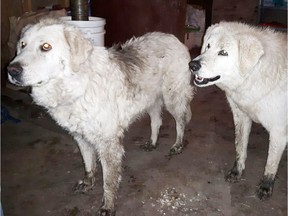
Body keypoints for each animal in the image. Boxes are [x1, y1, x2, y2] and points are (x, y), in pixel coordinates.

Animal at [6, 18, 195, 214]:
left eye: (45, 47)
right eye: (22, 45)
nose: (11, 70)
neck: (77, 85)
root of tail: (173, 38)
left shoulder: (108, 144)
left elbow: (109, 182)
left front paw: (108, 206)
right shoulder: (80, 137)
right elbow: (89, 164)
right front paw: (88, 183)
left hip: (172, 98)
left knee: (180, 121)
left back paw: (178, 145)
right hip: (151, 100)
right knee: (156, 121)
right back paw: (152, 142)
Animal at [189, 21, 286, 200]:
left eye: (223, 53)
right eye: (208, 46)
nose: (192, 65)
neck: (254, 75)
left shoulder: (278, 131)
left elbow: (271, 163)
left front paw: (266, 186)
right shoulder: (241, 117)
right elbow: (240, 148)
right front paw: (237, 172)